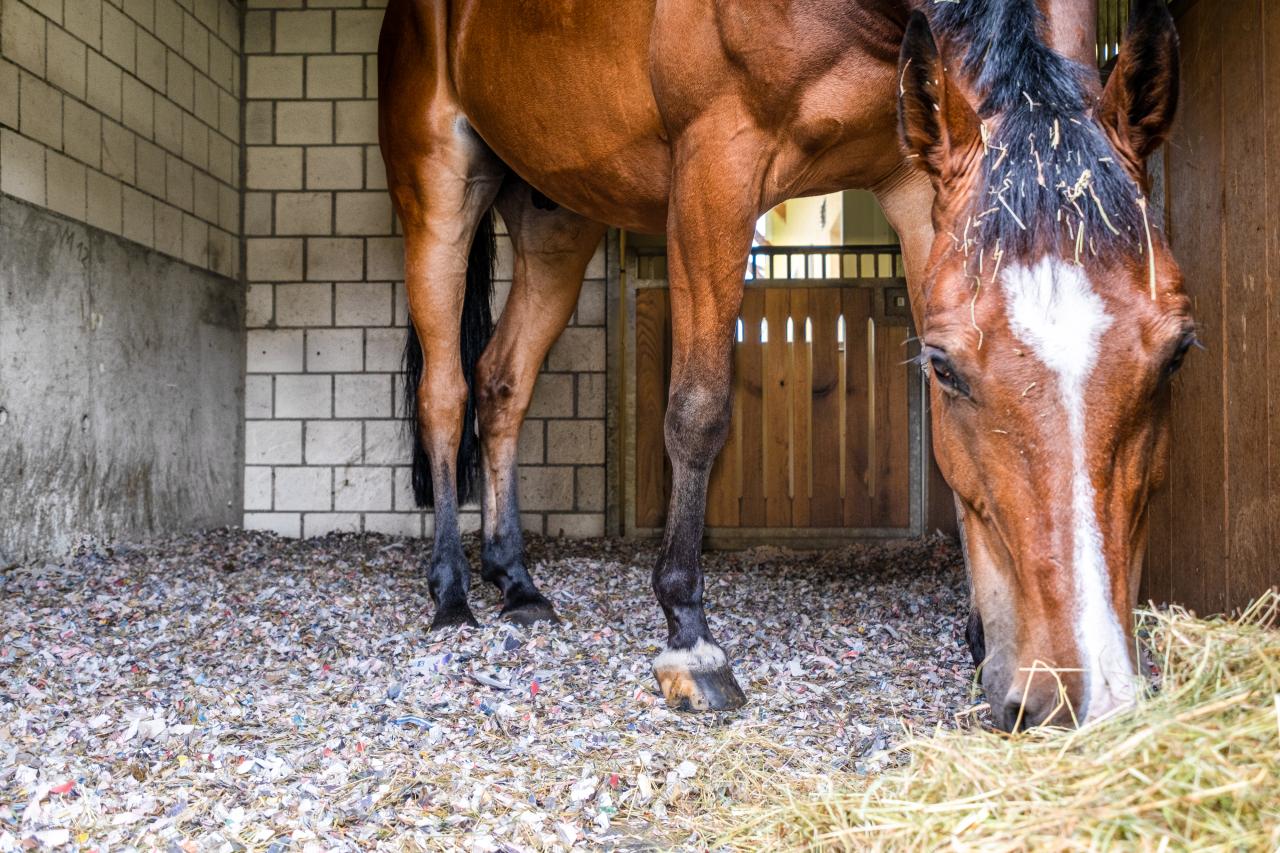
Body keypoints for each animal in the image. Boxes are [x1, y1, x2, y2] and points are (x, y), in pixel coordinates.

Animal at [377, 0, 1190, 730]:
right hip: (439, 190)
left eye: (1176, 352)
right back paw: (452, 594)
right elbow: (698, 411)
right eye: (947, 365)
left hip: (558, 215)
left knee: (502, 383)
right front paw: (690, 642)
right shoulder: (716, 168)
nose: (1083, 691)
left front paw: (984, 641)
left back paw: (516, 583)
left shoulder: (916, 185)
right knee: (446, 391)